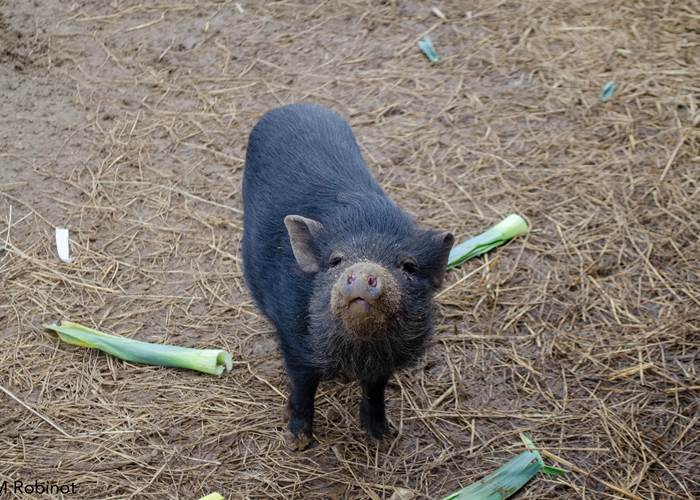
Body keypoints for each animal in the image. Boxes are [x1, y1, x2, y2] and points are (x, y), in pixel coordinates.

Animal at [242, 103, 453, 450]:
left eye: (408, 267)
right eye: (335, 260)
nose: (364, 270)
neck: (358, 350)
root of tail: (293, 106)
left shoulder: (385, 363)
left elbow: (376, 390)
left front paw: (383, 436)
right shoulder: (294, 338)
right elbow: (303, 387)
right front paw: (299, 443)